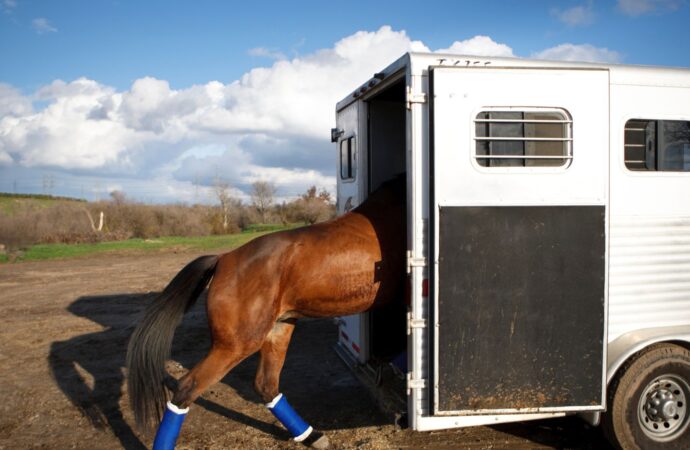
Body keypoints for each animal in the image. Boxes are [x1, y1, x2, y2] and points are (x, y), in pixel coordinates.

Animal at [125, 175, 404, 446]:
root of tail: (223, 259)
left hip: (278, 329)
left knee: (265, 385)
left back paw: (311, 436)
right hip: (236, 345)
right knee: (187, 388)